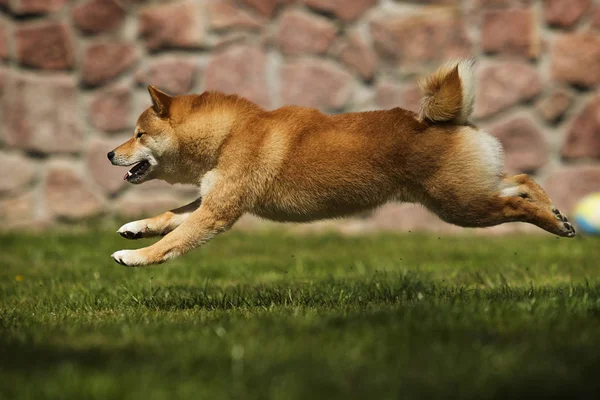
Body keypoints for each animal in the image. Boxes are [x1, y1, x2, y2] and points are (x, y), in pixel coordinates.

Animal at [108, 59, 576, 266]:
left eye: (138, 134)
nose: (110, 153)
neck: (227, 136)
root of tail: (445, 120)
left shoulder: (219, 211)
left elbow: (175, 240)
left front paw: (136, 256)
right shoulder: (211, 200)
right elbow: (170, 217)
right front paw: (136, 228)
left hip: (461, 206)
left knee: (515, 202)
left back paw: (555, 224)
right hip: (471, 194)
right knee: (521, 180)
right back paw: (556, 212)